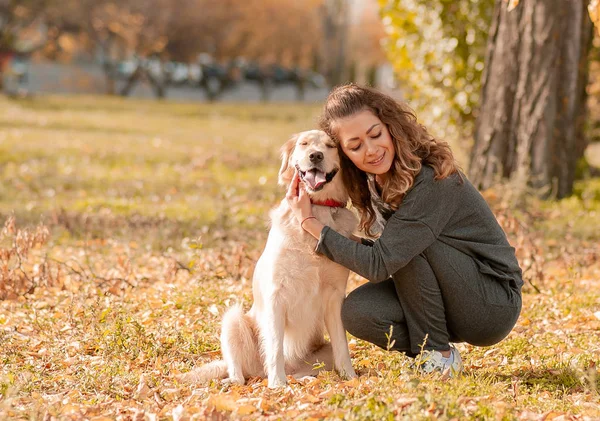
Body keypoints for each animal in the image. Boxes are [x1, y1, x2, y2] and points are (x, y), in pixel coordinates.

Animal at [178, 130, 356, 388]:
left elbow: (342, 345)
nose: (315, 155)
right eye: (304, 144)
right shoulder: (276, 294)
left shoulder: (335, 296)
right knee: (239, 374)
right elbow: (275, 347)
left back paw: (302, 378)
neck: (317, 209)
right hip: (233, 320)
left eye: (331, 146)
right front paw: (277, 383)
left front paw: (351, 377)